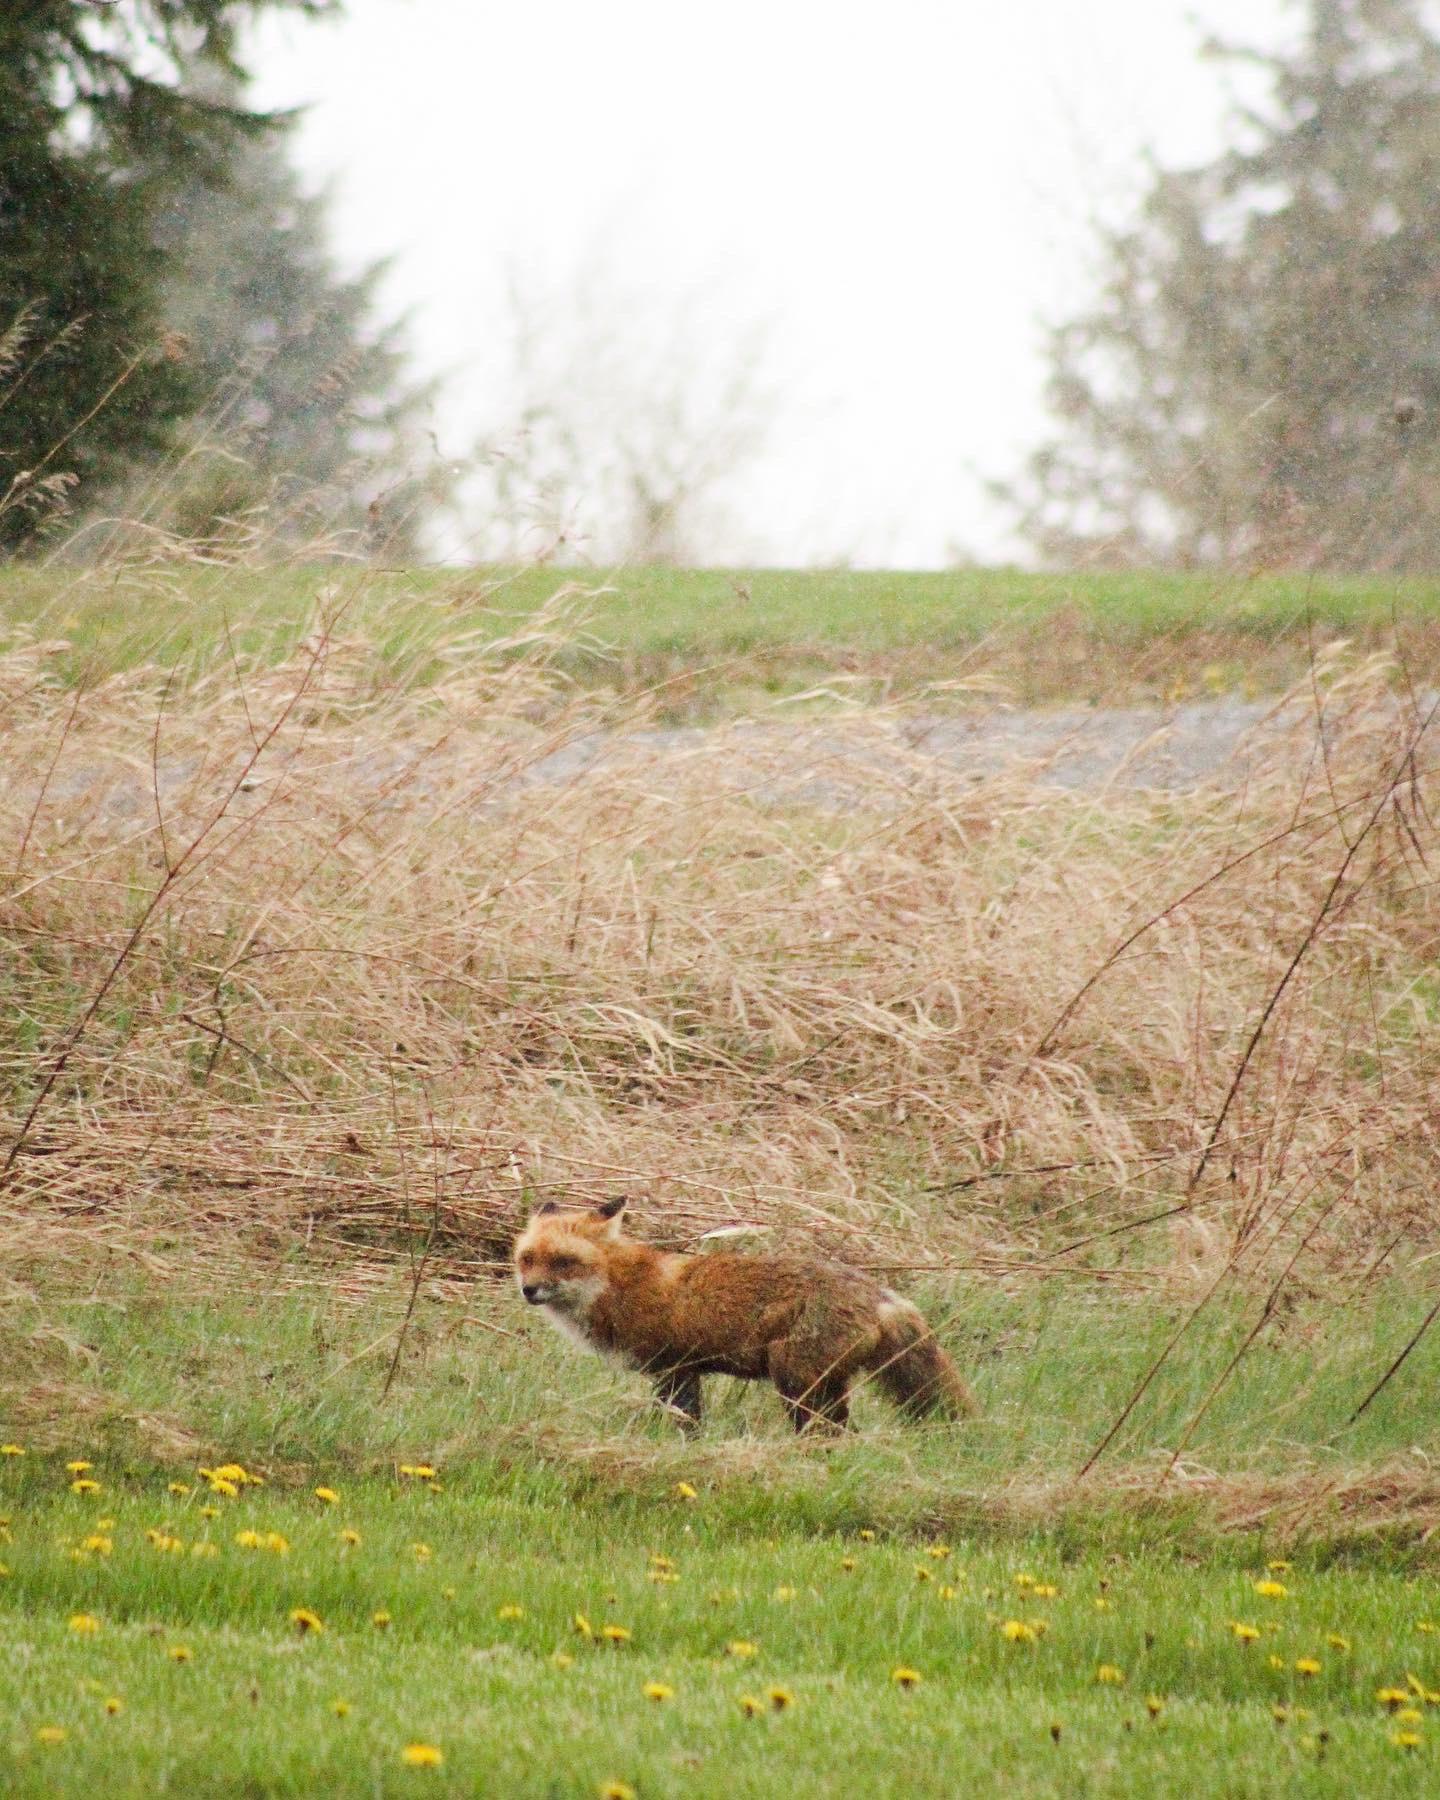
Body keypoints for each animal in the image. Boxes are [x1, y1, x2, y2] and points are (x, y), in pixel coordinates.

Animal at [513, 1195, 977, 1433]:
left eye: (563, 1262)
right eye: (527, 1259)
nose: (528, 1290)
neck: (619, 1286)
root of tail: (879, 1294)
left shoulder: (675, 1367)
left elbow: (684, 1420)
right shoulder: (682, 1370)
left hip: (793, 1379)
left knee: (827, 1430)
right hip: (821, 1384)